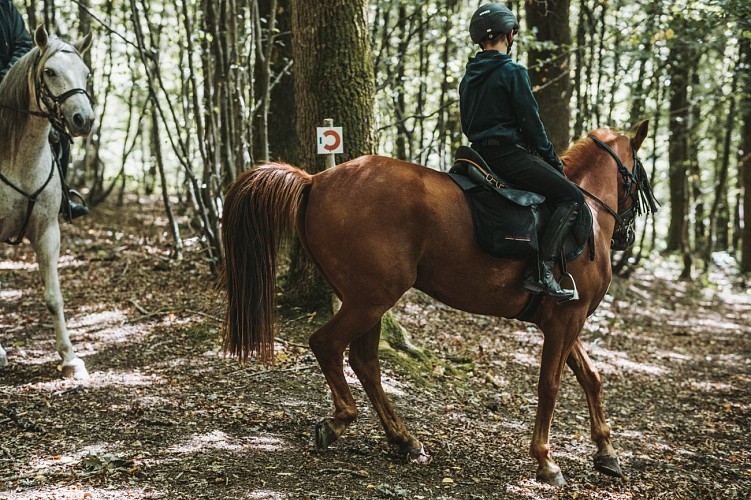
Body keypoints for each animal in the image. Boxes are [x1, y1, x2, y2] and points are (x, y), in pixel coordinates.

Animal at [0, 26, 94, 378]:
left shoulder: (47, 231)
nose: (84, 119)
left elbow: (54, 297)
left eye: (86, 72)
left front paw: (69, 358)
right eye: (50, 72)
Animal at [219, 120, 656, 484]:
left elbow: (590, 377)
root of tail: (317, 178)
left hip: (365, 298)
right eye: (640, 174)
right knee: (327, 344)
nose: (627, 237)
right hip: (371, 298)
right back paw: (343, 420)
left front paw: (606, 452)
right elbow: (550, 385)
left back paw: (404, 440)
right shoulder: (565, 320)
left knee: (364, 360)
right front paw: (546, 462)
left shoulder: (566, 318)